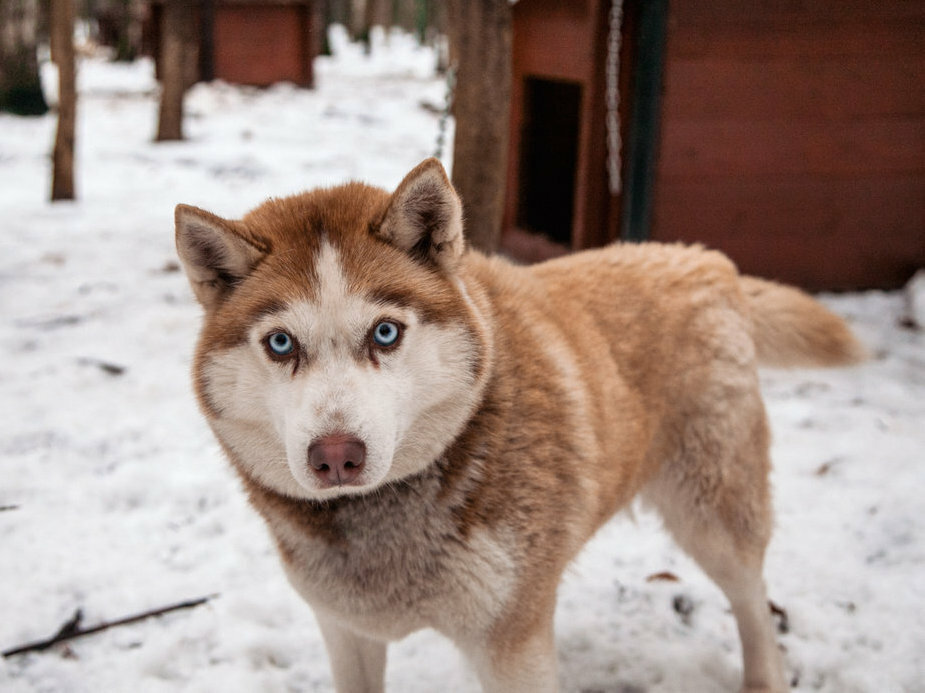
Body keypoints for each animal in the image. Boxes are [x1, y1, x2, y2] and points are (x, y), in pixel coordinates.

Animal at [175, 158, 868, 692]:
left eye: (385, 332)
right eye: (281, 343)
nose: (337, 454)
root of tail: (705, 261)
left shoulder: (513, 640)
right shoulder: (347, 629)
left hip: (715, 516)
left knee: (752, 600)